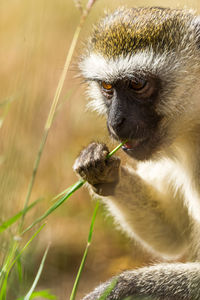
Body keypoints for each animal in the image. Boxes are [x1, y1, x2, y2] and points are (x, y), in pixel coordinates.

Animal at [73, 7, 200, 300]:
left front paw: (119, 287)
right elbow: (173, 234)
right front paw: (99, 167)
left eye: (137, 83)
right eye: (107, 87)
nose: (115, 122)